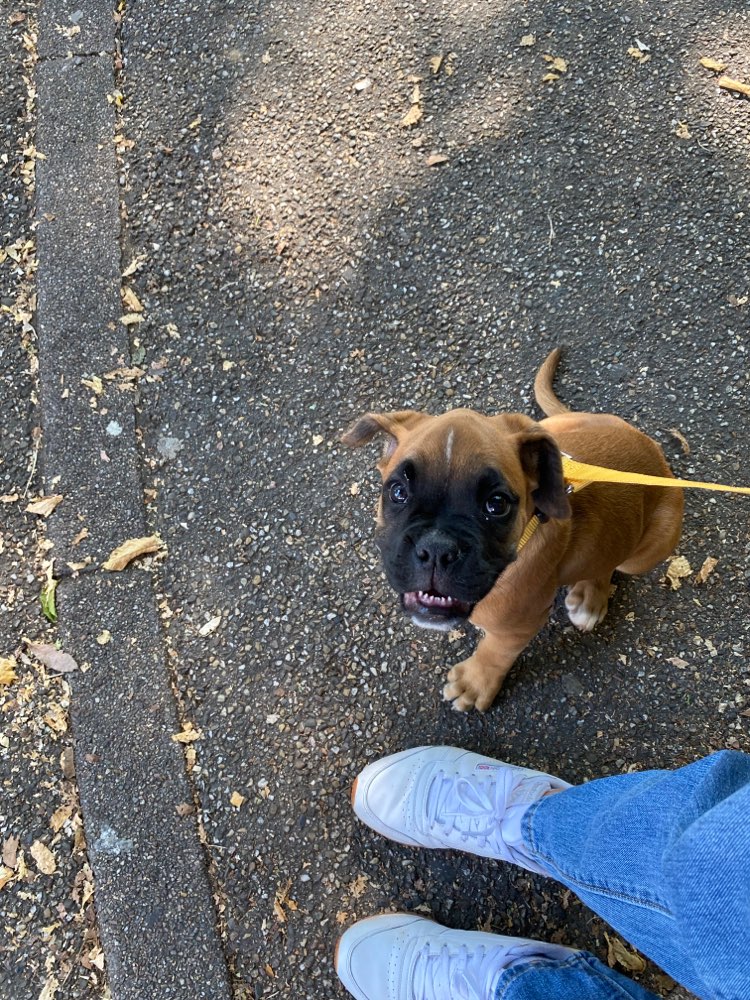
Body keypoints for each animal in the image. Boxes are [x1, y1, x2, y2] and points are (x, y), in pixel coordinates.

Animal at [344, 352, 684, 712]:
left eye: (497, 505)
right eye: (398, 492)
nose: (437, 549)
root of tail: (658, 457)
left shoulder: (520, 624)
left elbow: (495, 651)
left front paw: (474, 683)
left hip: (649, 549)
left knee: (612, 562)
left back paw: (591, 598)